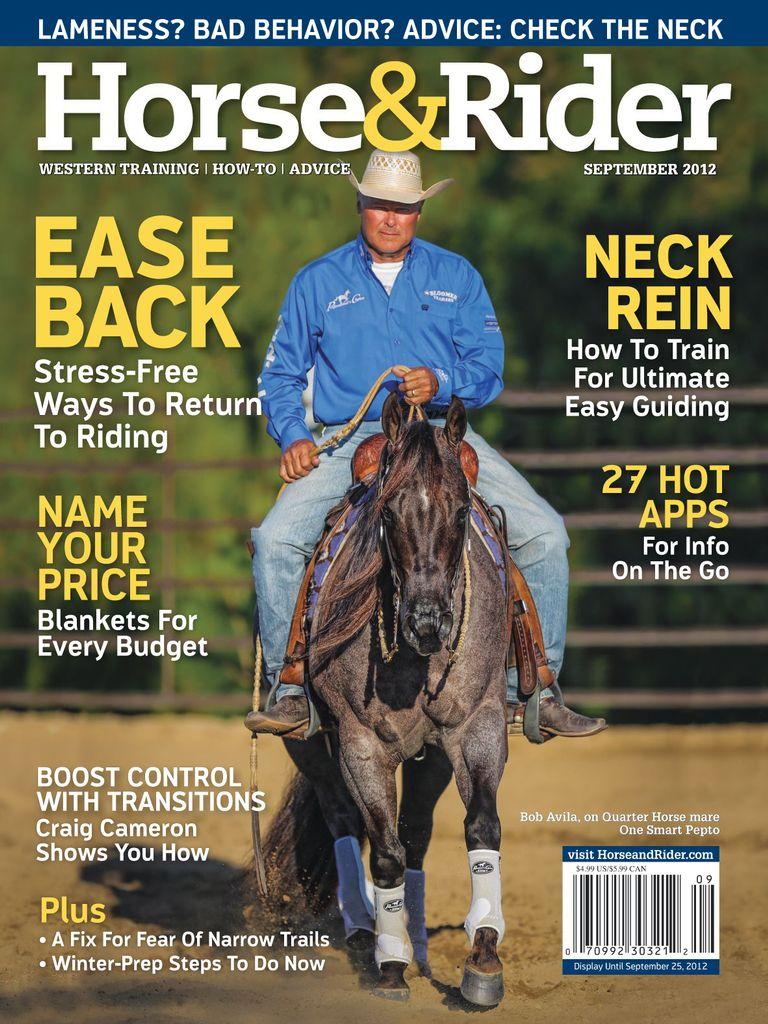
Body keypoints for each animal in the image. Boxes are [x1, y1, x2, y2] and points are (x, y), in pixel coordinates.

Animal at [261, 394, 510, 1006]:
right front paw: (391, 964)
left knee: (415, 831)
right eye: (389, 514)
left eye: (459, 512)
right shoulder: (360, 744)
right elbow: (384, 849)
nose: (427, 623)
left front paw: (483, 957)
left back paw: (414, 935)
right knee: (344, 817)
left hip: (434, 754)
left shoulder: (477, 726)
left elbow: (480, 828)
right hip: (308, 744)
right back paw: (363, 926)